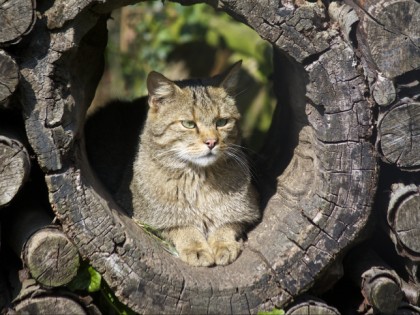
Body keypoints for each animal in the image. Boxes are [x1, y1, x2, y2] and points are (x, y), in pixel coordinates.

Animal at [126, 61, 260, 266]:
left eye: (222, 122)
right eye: (189, 124)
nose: (211, 142)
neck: (199, 179)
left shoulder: (248, 210)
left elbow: (225, 224)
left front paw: (223, 243)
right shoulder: (147, 220)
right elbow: (183, 227)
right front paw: (196, 248)